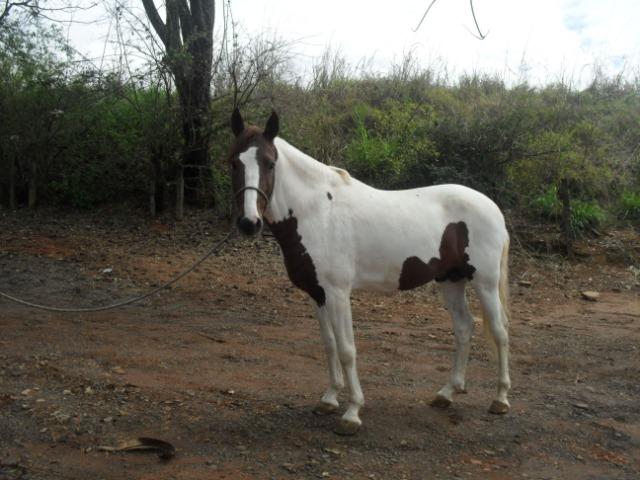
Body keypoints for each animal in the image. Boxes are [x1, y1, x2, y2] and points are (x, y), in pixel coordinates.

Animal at [225, 108, 510, 436]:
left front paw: (352, 413)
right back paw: (447, 393)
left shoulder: (337, 293)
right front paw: (329, 399)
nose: (249, 223)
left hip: (485, 283)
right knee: (464, 327)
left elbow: (347, 350)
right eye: (233, 162)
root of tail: (492, 207)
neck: (318, 212)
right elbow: (329, 345)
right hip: (451, 280)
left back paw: (500, 399)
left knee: (500, 331)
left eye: (270, 163)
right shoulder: (317, 294)